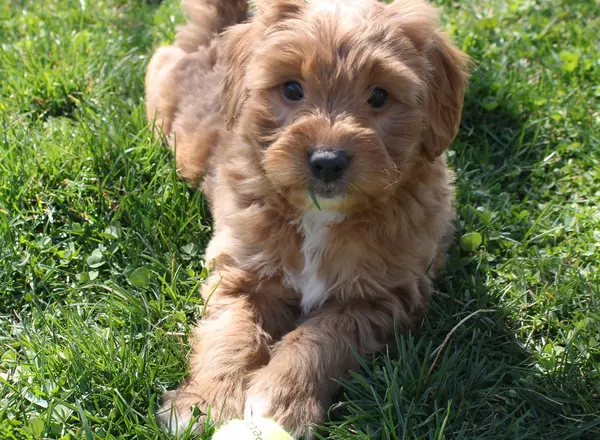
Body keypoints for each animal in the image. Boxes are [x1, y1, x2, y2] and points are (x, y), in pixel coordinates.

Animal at [145, 0, 468, 436]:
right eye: (292, 89)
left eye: (379, 96)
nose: (327, 161)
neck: (319, 217)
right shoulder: (242, 272)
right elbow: (230, 331)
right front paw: (205, 401)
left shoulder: (384, 295)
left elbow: (324, 336)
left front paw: (282, 400)